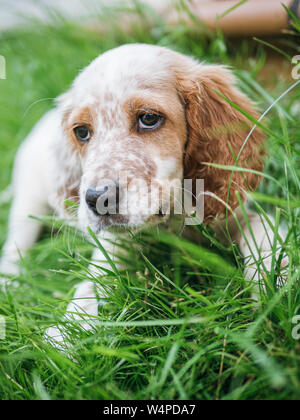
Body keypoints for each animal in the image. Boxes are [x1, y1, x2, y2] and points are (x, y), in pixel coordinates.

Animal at [0, 44, 288, 346]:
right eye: (81, 132)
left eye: (148, 118)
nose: (96, 199)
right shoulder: (115, 246)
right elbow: (92, 282)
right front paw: (63, 336)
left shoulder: (231, 210)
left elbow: (263, 233)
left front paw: (274, 287)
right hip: (28, 200)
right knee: (15, 247)